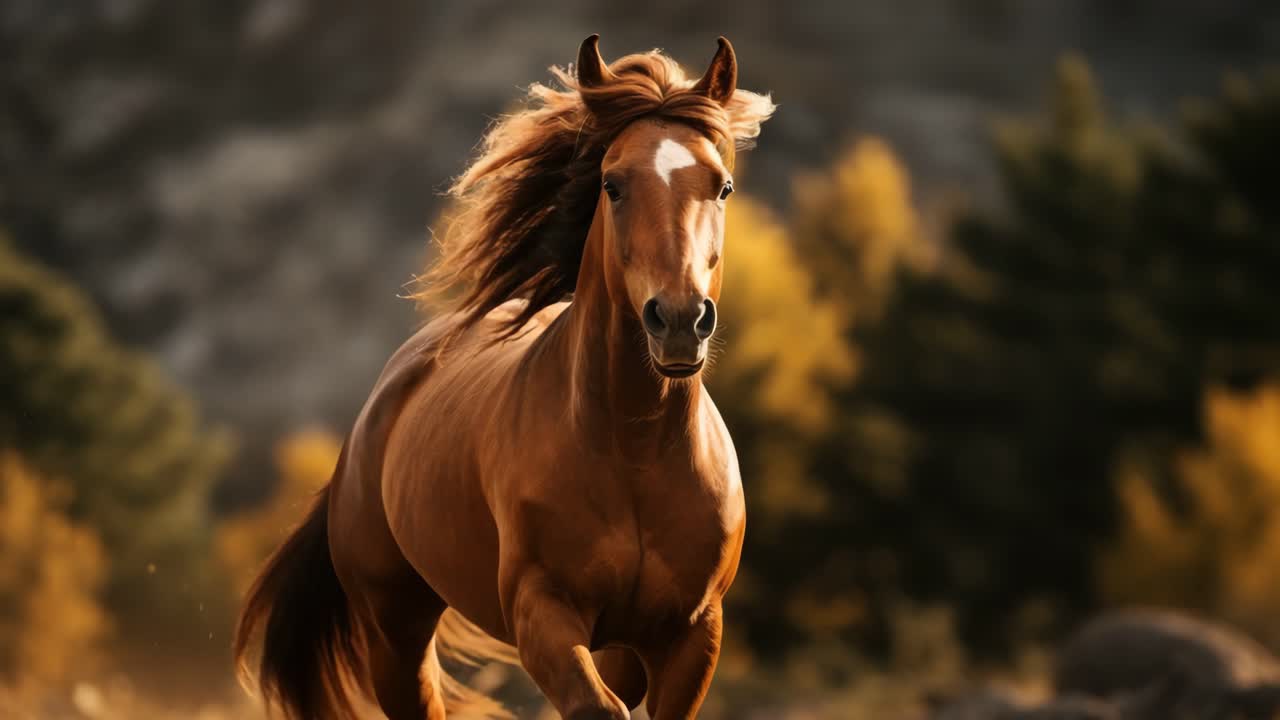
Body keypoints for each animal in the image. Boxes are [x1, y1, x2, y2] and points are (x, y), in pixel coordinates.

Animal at [234, 34, 775, 720]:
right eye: (613, 184)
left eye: (723, 186)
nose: (679, 320)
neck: (634, 452)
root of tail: (381, 401)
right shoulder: (541, 611)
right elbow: (598, 708)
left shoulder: (690, 635)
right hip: (394, 630)